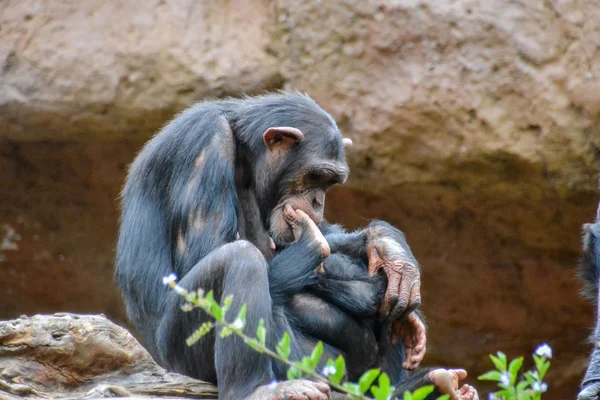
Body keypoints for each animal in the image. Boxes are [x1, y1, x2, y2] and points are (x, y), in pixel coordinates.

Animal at [115, 91, 474, 400]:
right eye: (314, 176)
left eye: (330, 182)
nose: (317, 201)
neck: (246, 154)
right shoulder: (203, 146)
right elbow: (205, 251)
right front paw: (321, 252)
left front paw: (390, 252)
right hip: (183, 355)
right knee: (242, 262)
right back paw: (257, 390)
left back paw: (422, 385)